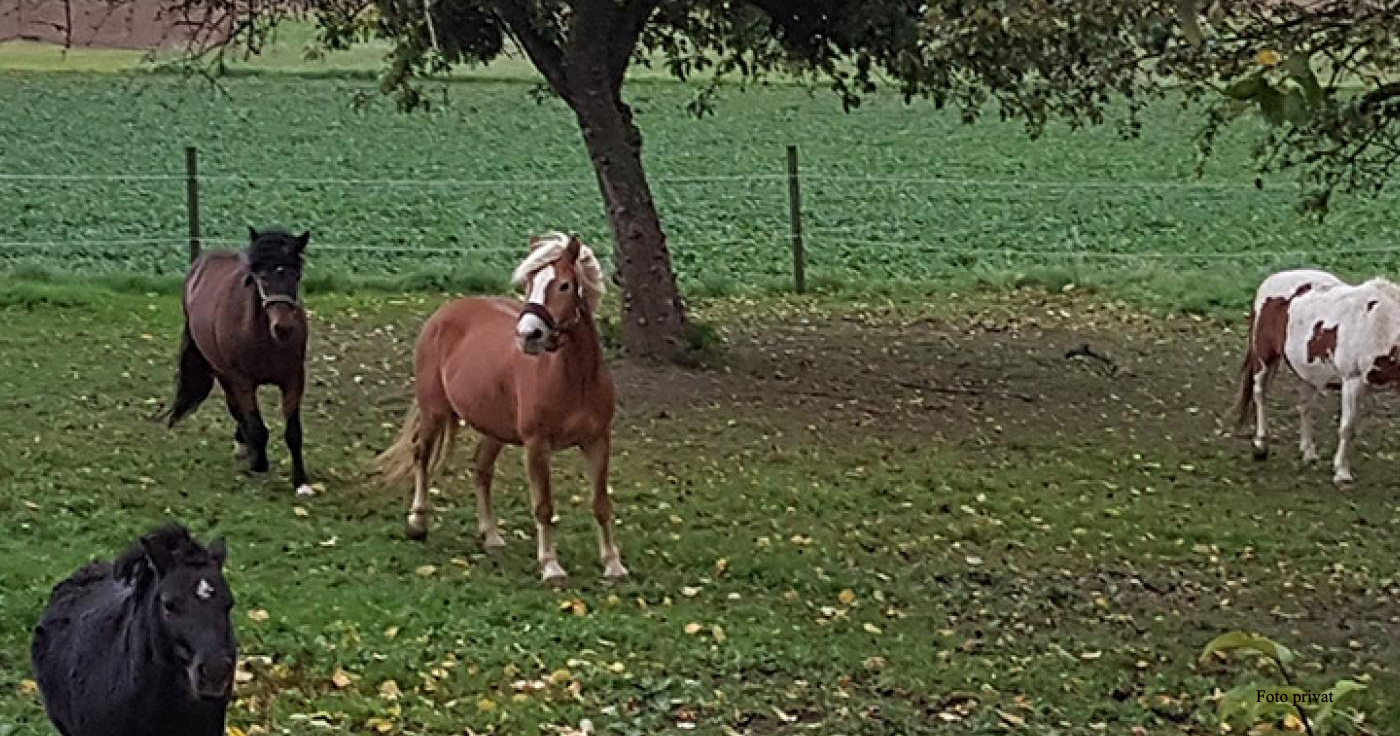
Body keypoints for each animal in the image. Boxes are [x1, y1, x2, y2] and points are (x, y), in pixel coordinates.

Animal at [163, 228, 315, 498]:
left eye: (296, 275)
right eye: (261, 276)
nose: (284, 328)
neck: (263, 337)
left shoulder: (293, 379)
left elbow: (293, 432)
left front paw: (301, 482)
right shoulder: (242, 380)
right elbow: (256, 426)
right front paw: (259, 464)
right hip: (222, 372)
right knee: (236, 409)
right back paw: (246, 448)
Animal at [378, 233, 630, 584]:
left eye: (565, 285)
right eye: (529, 283)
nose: (529, 335)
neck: (574, 378)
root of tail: (446, 312)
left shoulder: (598, 442)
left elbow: (601, 503)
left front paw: (612, 563)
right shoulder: (537, 446)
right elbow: (544, 506)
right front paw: (550, 566)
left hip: (493, 428)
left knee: (482, 469)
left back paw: (492, 536)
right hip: (434, 412)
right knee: (422, 455)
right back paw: (417, 523)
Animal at [1237, 268, 1400, 486]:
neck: (1382, 324)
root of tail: (1270, 280)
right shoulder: (1353, 381)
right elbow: (1347, 427)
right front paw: (1342, 472)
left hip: (1307, 371)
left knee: (1305, 407)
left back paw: (1308, 452)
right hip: (1264, 358)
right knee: (1260, 394)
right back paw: (1261, 445)